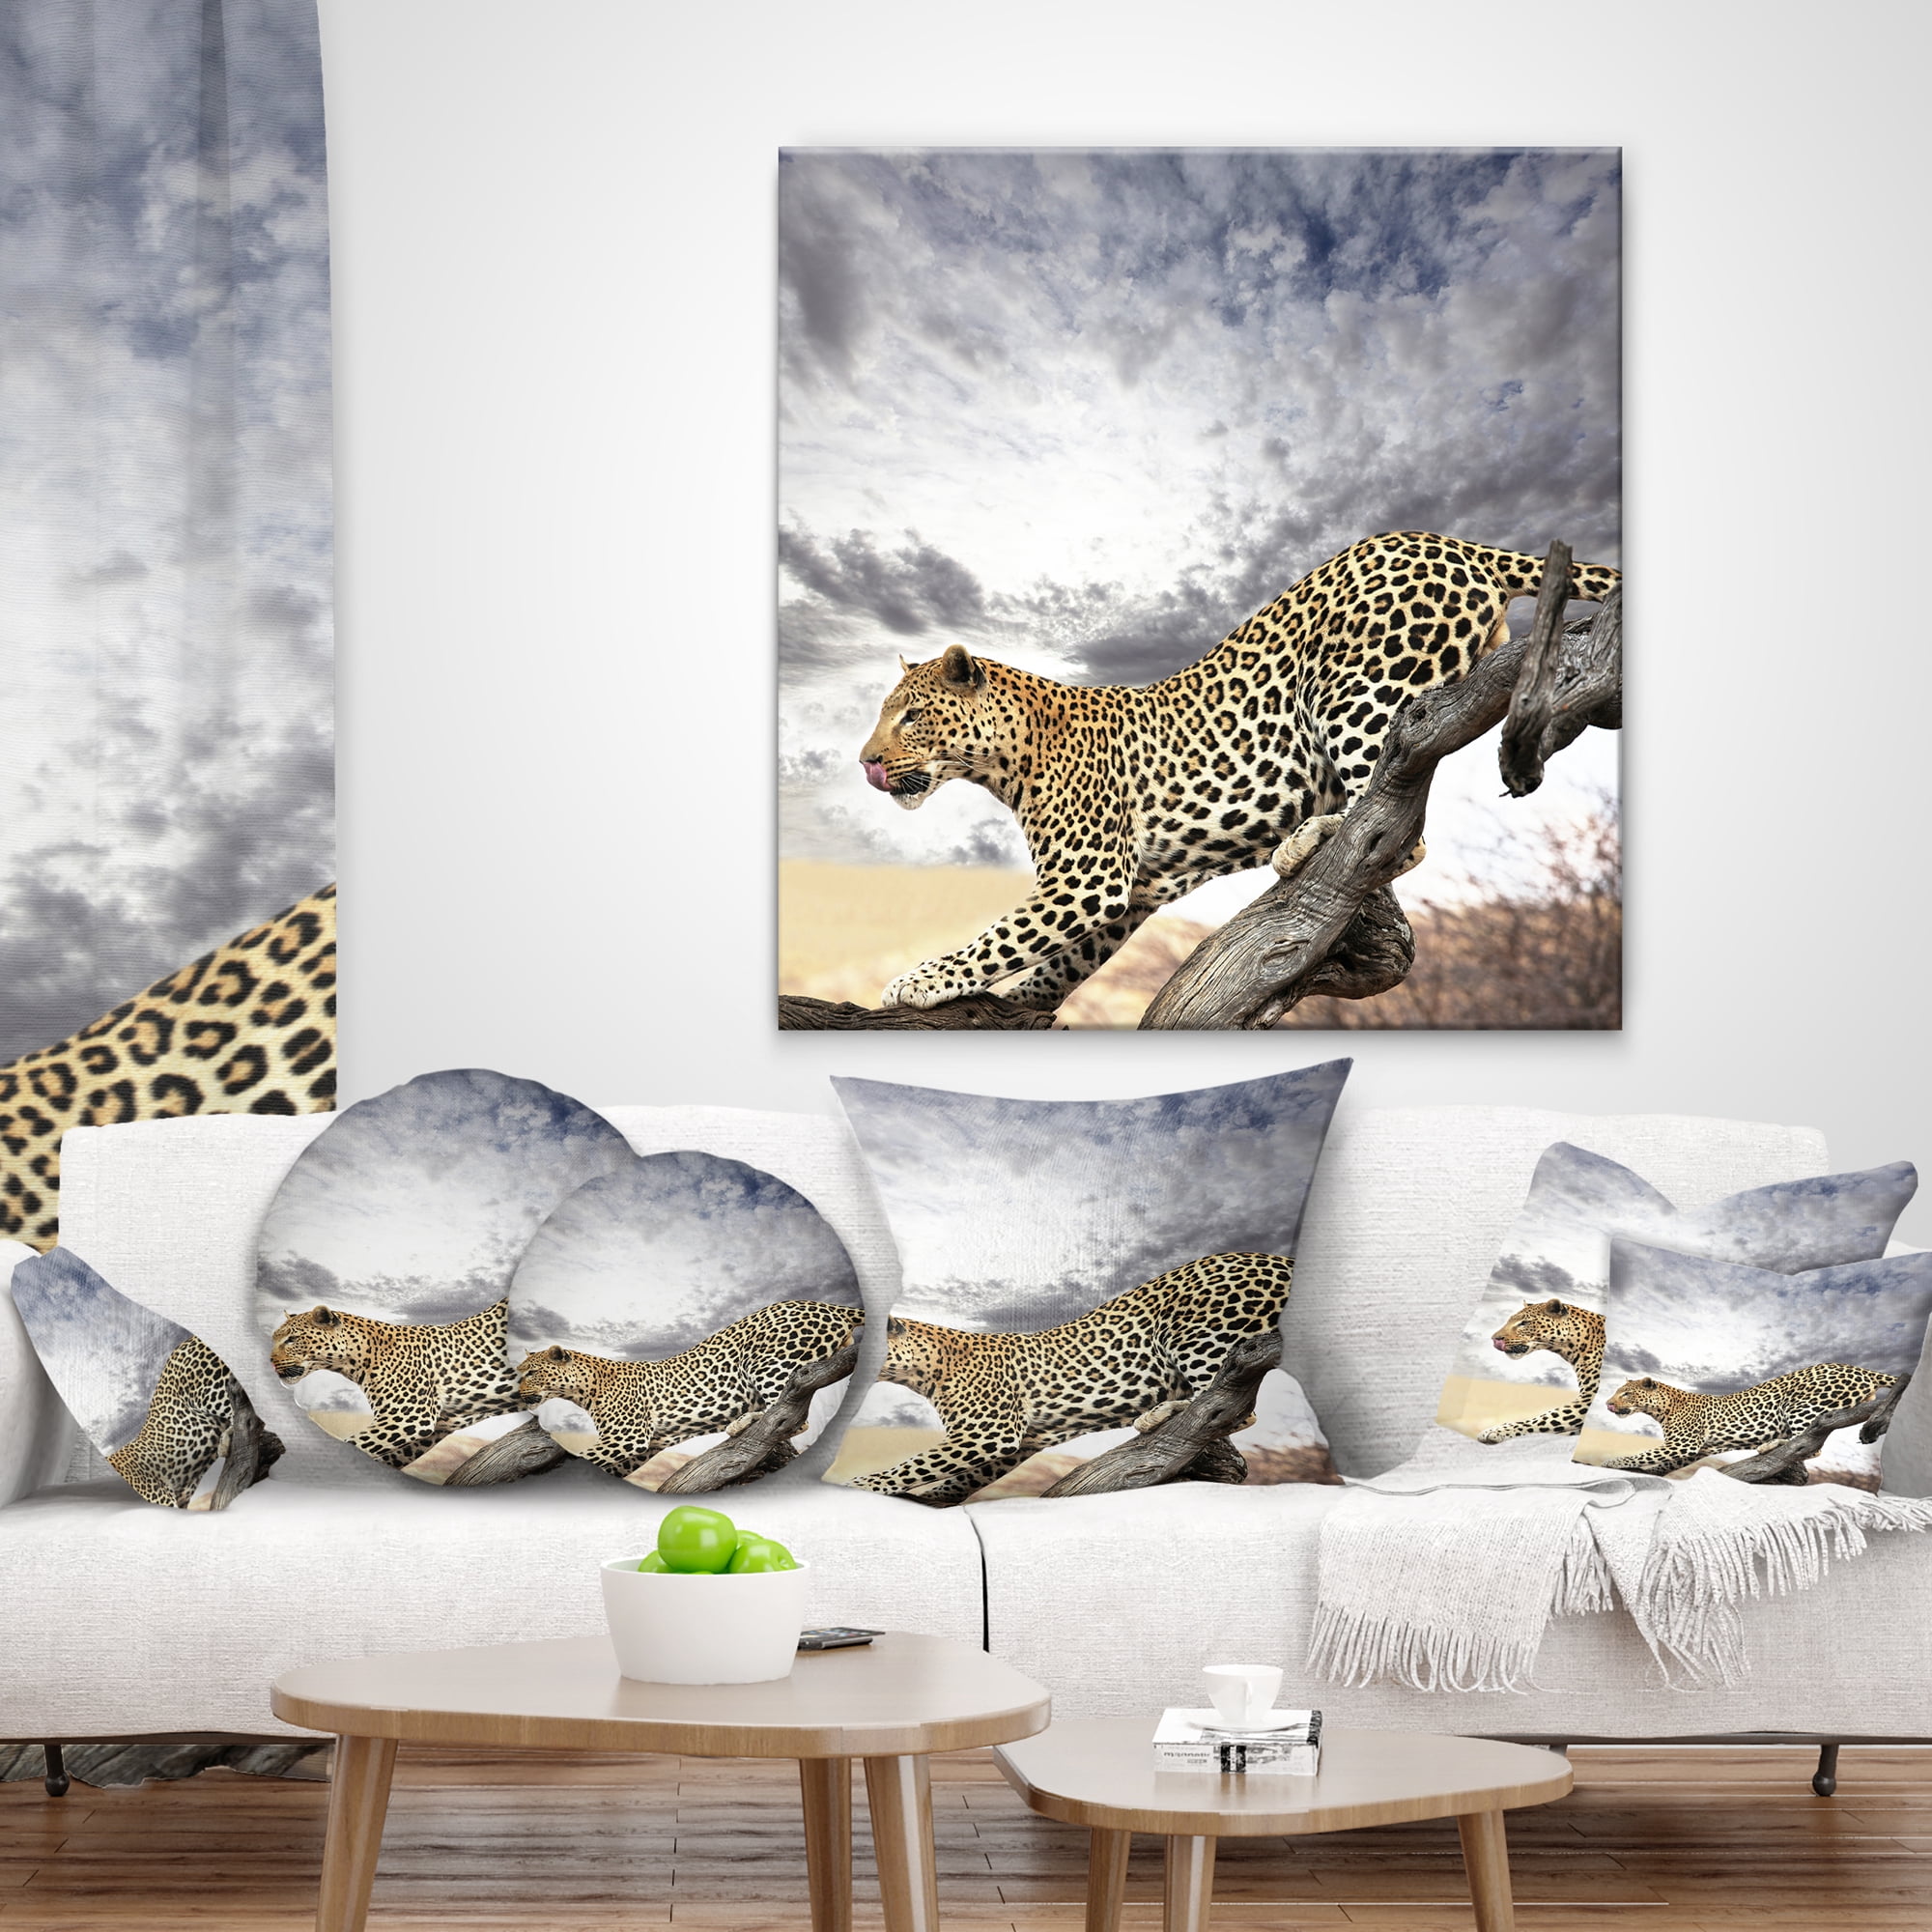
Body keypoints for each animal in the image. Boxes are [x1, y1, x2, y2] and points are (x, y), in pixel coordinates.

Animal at [269, 1295, 522, 1471]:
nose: (270, 1361)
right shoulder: (438, 1425)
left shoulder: (407, 1416)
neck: (359, 1358)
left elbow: (355, 1443)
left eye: (292, 1339)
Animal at [514, 1298, 864, 1480]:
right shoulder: (643, 1447)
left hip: (767, 1361)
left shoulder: (628, 1437)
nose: (517, 1393)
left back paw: (743, 1423)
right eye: (520, 1372)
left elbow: (587, 1455)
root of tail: (825, 1305)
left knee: (793, 1411)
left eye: (532, 1372)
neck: (584, 1388)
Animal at [850, 1251, 1293, 1507]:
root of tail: (1279, 1258)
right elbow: (958, 1474)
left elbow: (913, 1464)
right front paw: (937, 1498)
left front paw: (860, 1485)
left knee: (1232, 1403)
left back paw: (1157, 1415)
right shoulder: (1019, 1441)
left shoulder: (989, 1433)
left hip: (1198, 1331)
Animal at [857, 531, 1619, 1012]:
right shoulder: (1131, 890)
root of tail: (1451, 542)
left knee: (1400, 820)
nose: (865, 762)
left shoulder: (1088, 879)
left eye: (911, 716)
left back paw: (1308, 840)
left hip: (1355, 690)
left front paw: (915, 983)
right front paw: (1021, 1001)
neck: (1007, 759)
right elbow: (1057, 959)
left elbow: (998, 939)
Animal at [1599, 1365, 1900, 1478]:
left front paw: (1610, 1463)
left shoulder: (1683, 1444)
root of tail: (1856, 1368)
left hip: (1802, 1405)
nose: (1607, 1403)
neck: (1663, 1407)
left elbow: (1643, 1453)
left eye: (1626, 1393)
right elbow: (1659, 1461)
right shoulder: (1690, 1450)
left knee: (1811, 1442)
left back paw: (1770, 1445)